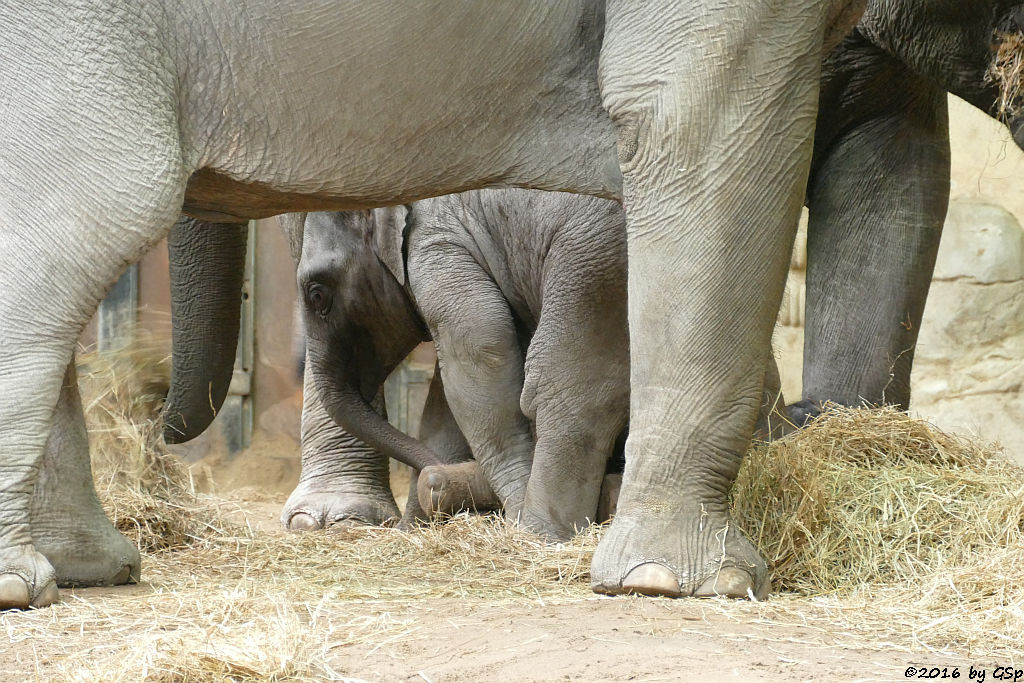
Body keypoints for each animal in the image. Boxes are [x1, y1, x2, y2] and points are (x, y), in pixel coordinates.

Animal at [299, 188, 630, 540]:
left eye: (317, 295)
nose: (432, 476)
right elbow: (444, 399)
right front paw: (412, 528)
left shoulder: (437, 253)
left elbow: (480, 356)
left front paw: (513, 512)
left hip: (592, 267)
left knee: (567, 389)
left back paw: (539, 532)